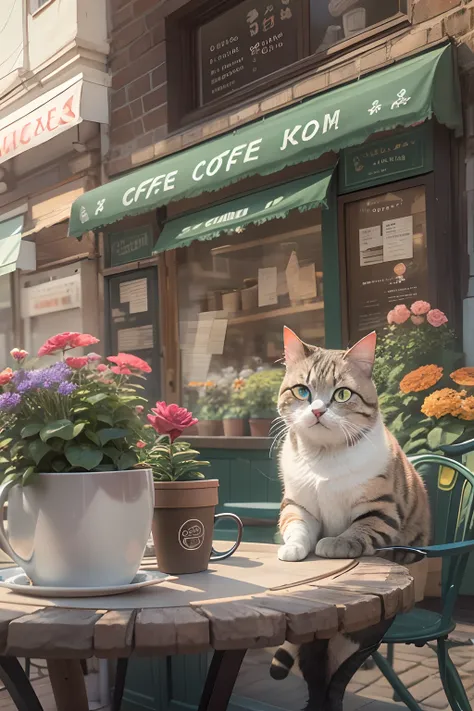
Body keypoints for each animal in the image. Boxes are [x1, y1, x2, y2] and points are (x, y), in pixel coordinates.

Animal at [270, 328, 430, 688]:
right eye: (302, 391)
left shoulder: (381, 509)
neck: (323, 457)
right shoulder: (298, 503)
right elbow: (297, 525)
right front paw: (294, 547)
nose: (317, 411)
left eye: (342, 394)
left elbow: (358, 529)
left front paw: (334, 544)